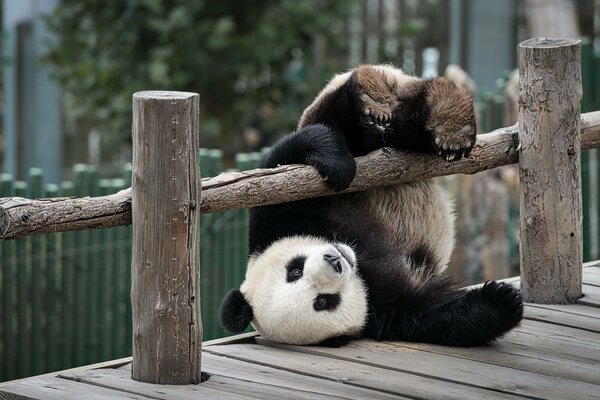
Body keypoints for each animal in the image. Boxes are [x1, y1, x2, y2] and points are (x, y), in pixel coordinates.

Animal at [218, 63, 524, 346]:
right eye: (323, 301)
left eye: (294, 269)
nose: (335, 260)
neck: (360, 262)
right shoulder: (382, 312)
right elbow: (431, 315)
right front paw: (502, 301)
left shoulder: (274, 217)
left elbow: (287, 157)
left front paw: (337, 165)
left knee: (354, 121)